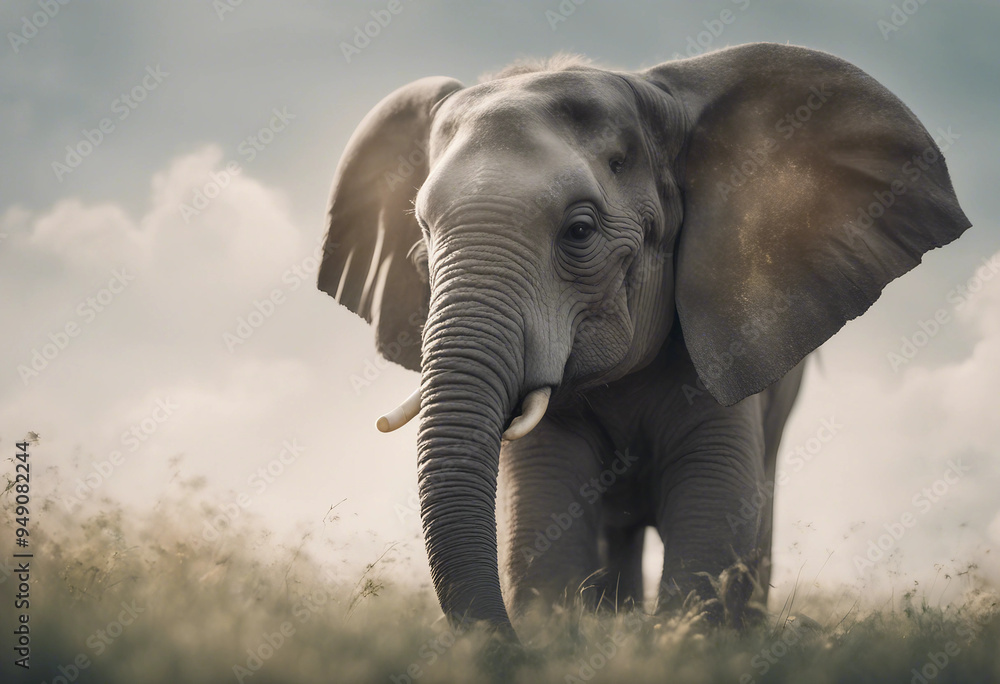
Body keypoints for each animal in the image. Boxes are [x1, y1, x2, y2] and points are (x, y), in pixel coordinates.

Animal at [318, 43, 970, 641]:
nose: (507, 646)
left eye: (579, 231)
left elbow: (715, 502)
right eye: (421, 244)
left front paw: (683, 644)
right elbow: (541, 507)